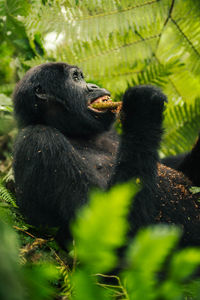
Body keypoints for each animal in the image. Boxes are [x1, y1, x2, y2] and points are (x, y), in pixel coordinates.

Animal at [12, 62, 200, 247]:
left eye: (81, 76)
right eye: (76, 77)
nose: (94, 86)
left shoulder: (110, 132)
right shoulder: (40, 139)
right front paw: (143, 106)